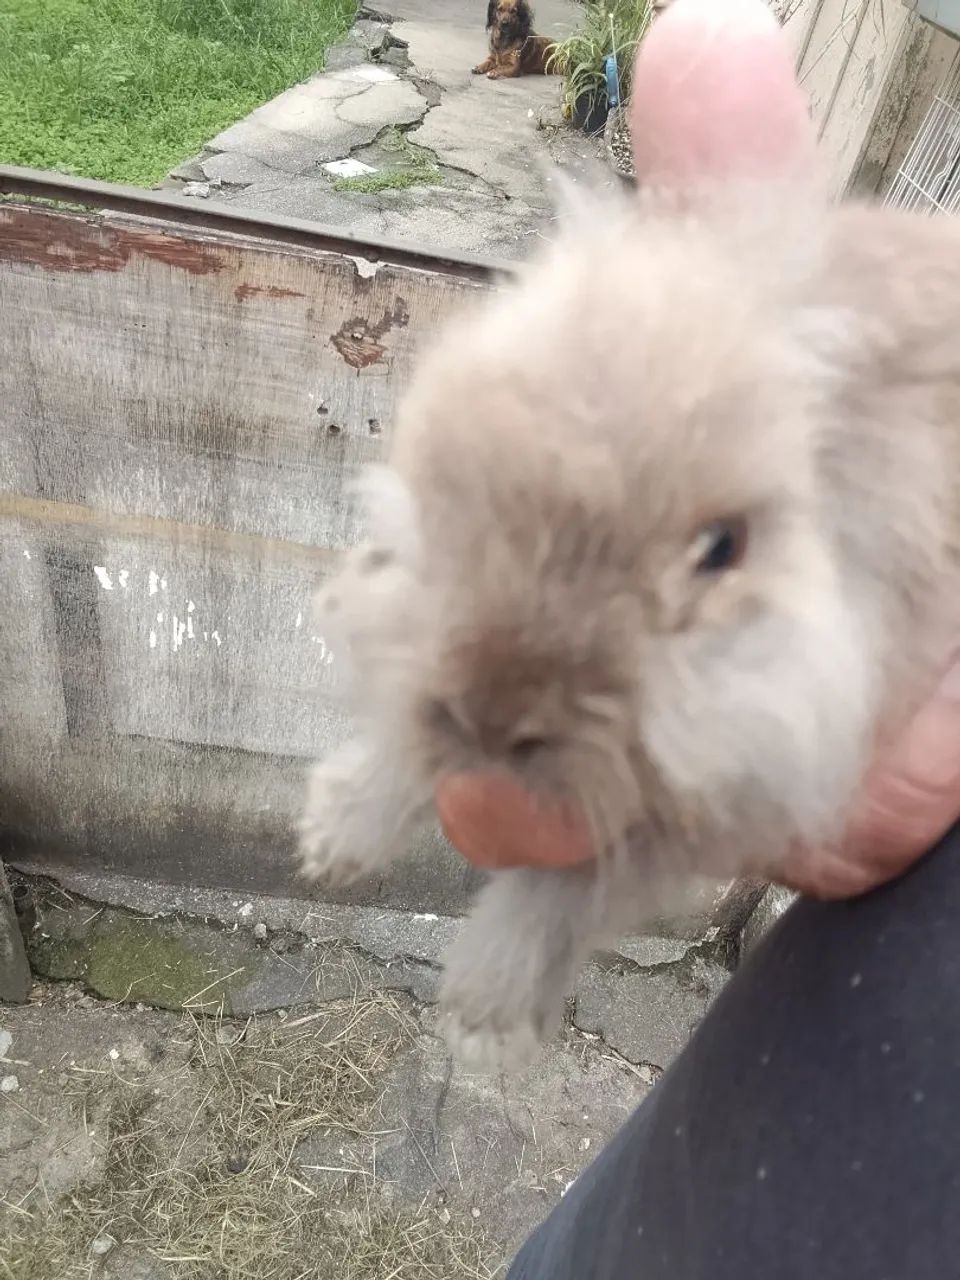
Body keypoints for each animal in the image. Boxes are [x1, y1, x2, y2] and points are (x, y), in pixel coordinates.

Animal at [298, 0, 960, 1071]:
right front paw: (333, 837)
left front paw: (482, 1013)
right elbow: (405, 740)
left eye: (721, 549)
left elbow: (562, 897)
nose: (496, 714)